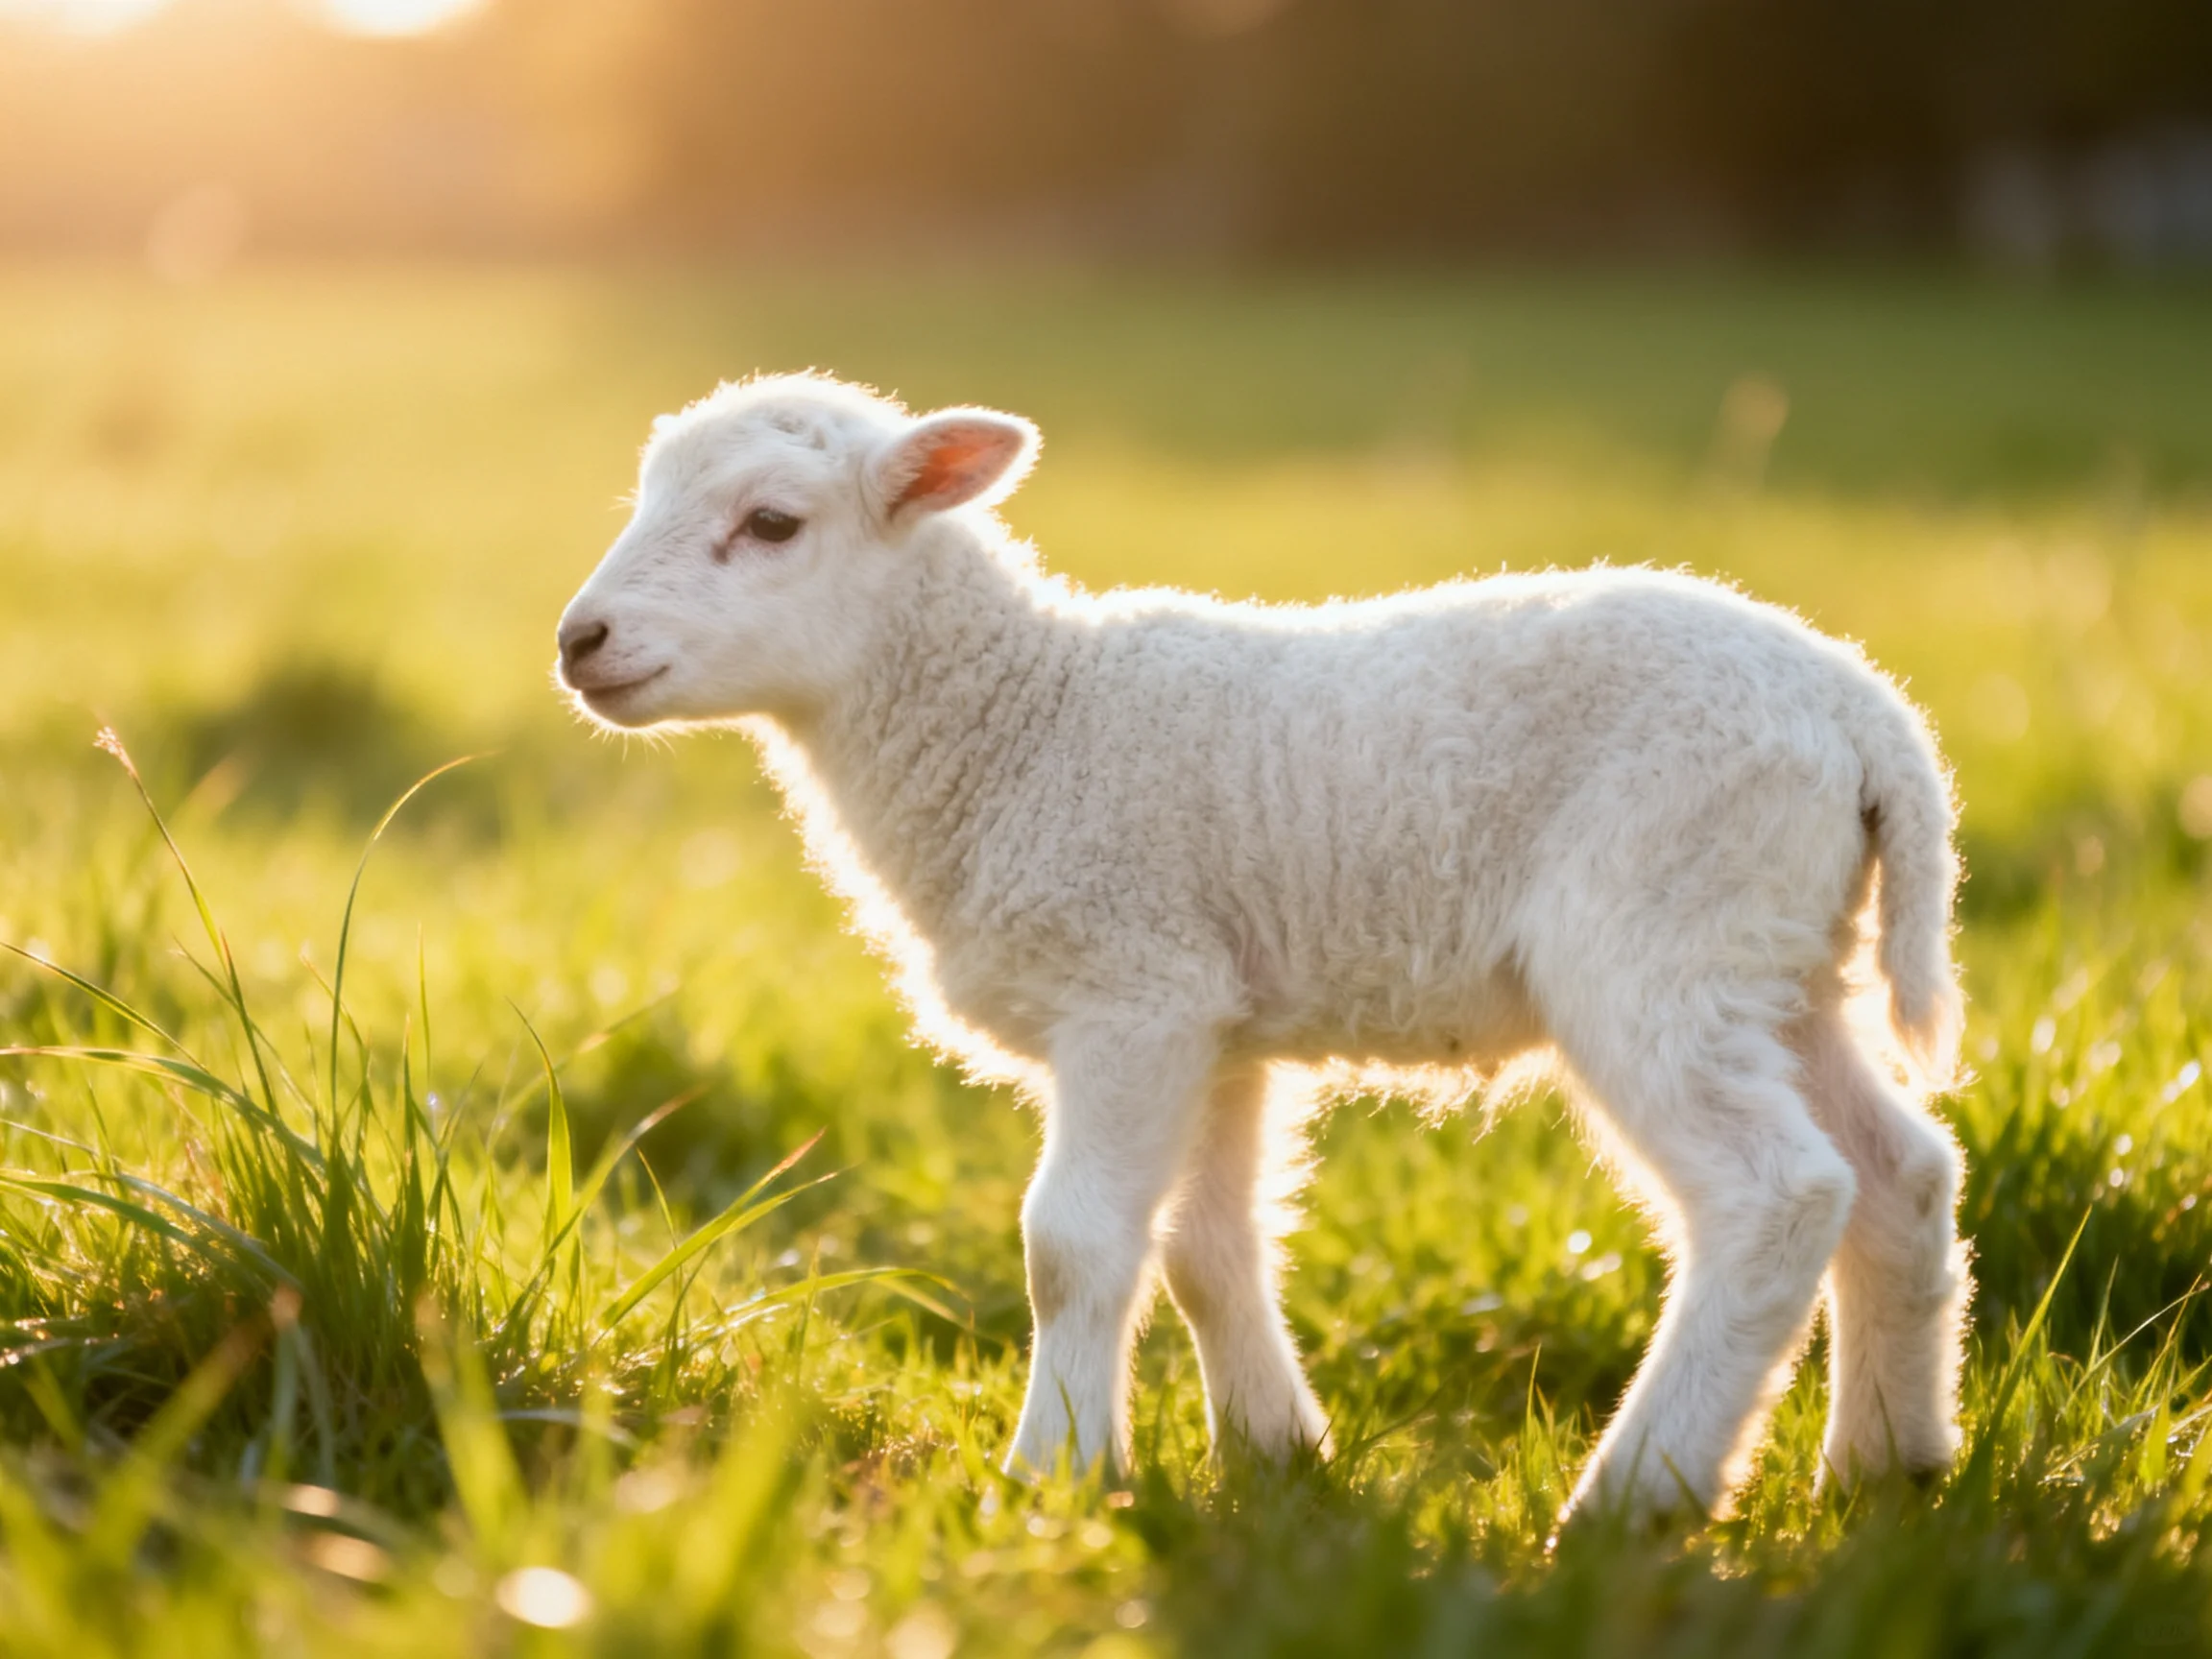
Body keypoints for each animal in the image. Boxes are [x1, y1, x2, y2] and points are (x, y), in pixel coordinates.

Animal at [554, 371, 1972, 1525]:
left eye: (772, 523)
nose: (579, 641)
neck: (1020, 722)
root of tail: (1865, 714)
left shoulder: (1131, 990)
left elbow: (1072, 1246)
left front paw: (1056, 1477)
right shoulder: (1216, 1018)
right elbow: (1205, 1250)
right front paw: (1280, 1454)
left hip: (1661, 933)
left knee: (1779, 1195)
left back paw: (1636, 1498)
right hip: (1780, 958)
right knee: (1900, 1173)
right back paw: (1886, 1467)